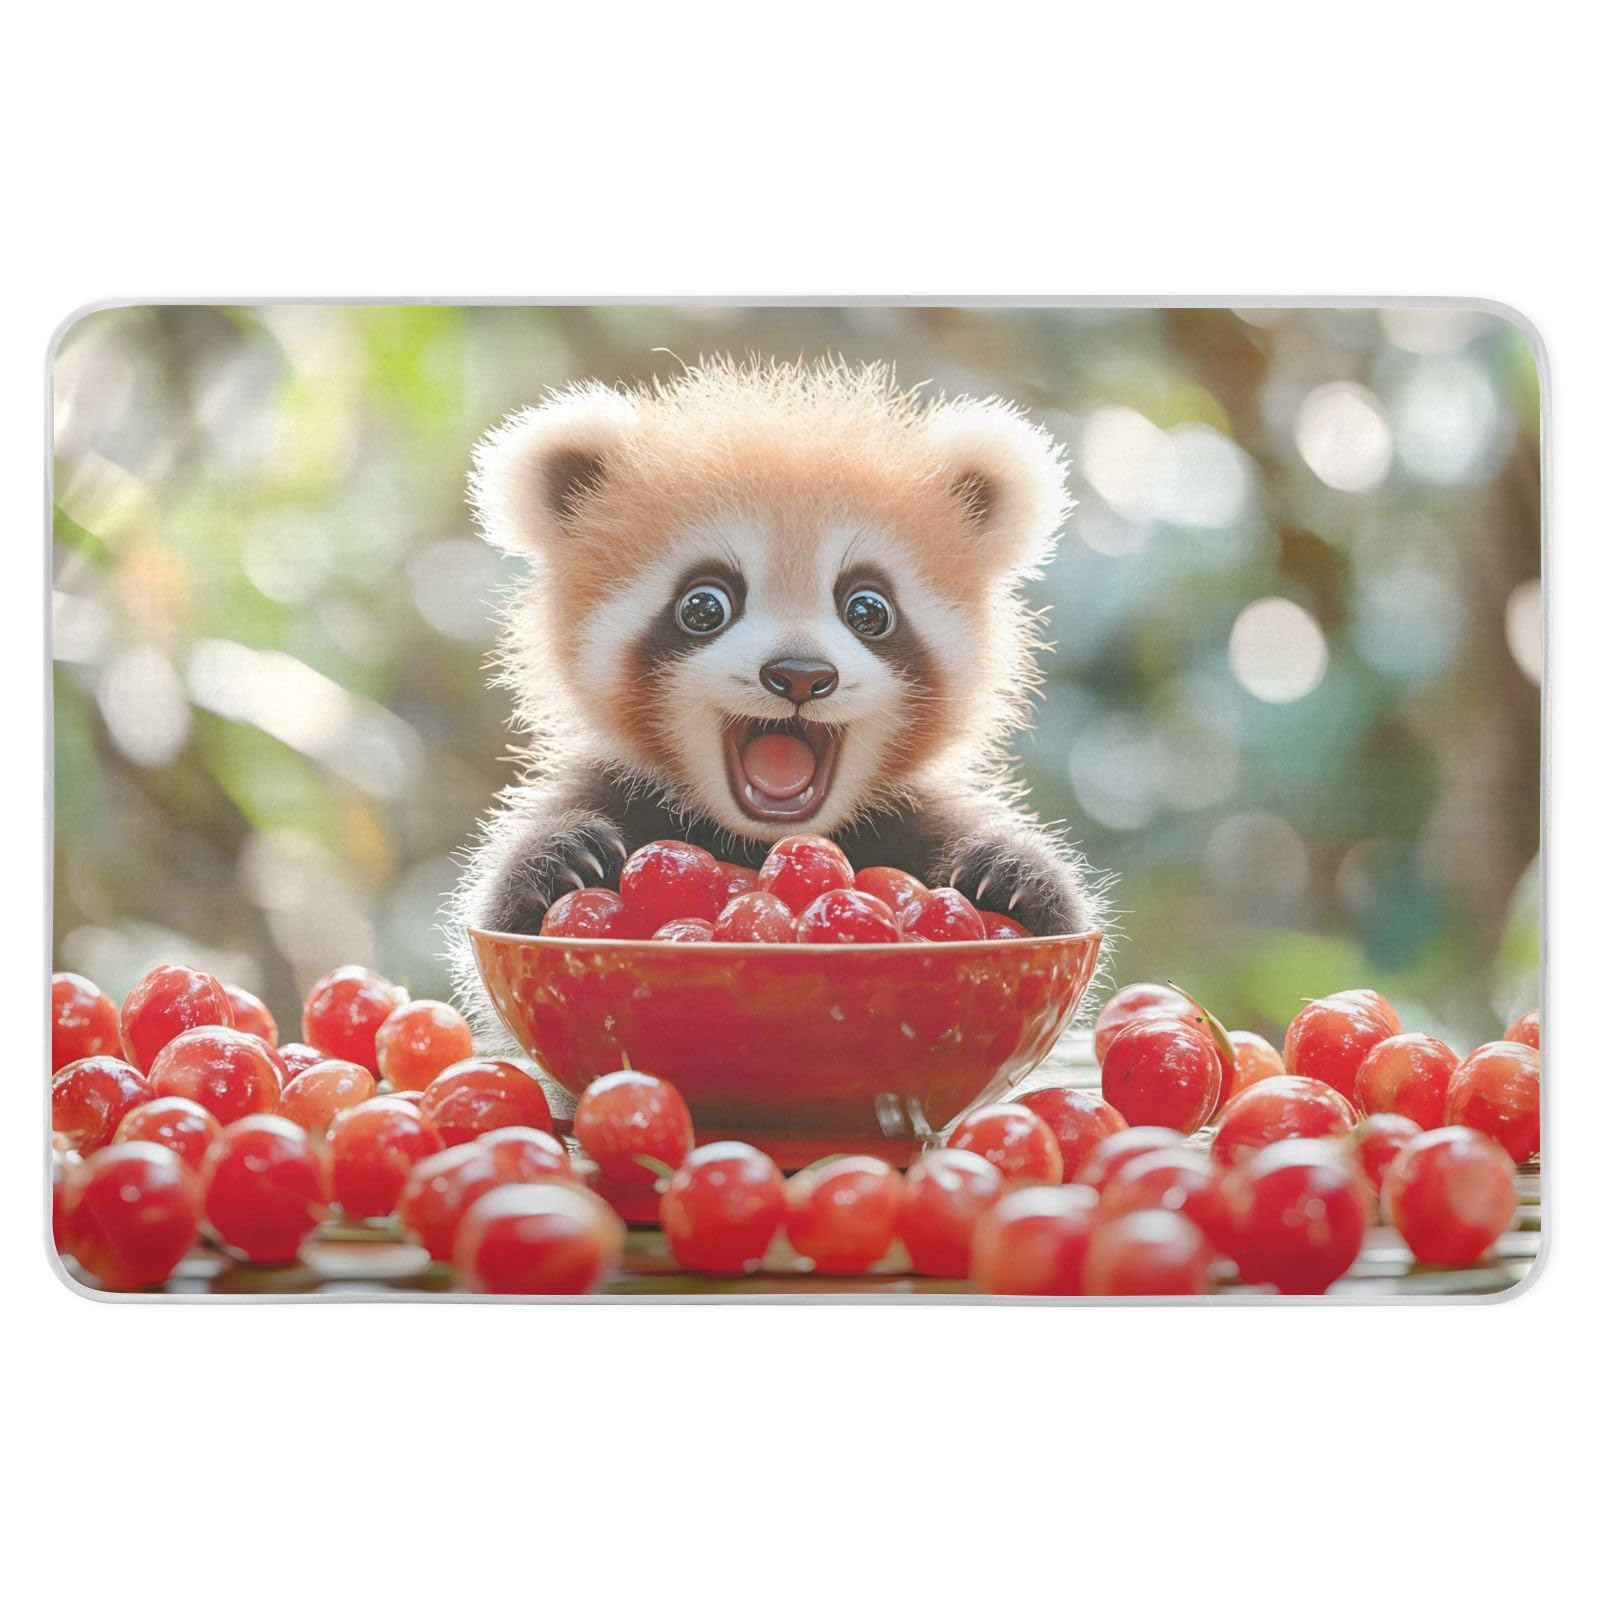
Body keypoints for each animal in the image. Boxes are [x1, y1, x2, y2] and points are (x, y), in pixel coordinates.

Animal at [454, 356, 1103, 960]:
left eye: (868, 609)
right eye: (704, 606)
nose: (800, 676)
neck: (756, 839)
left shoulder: (910, 814)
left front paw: (1010, 874)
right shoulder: (609, 788)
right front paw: (561, 858)